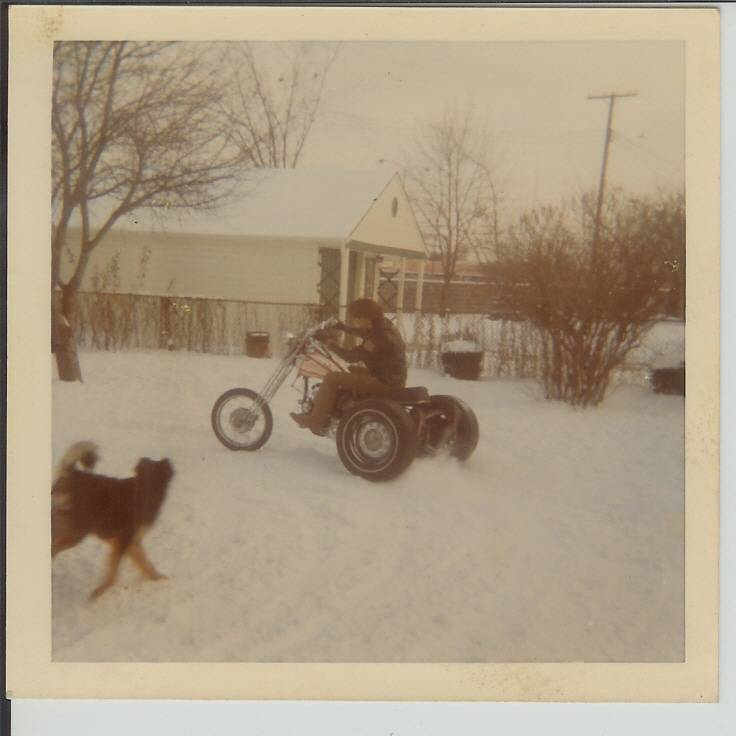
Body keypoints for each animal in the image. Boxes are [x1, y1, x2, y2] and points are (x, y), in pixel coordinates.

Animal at [51, 440, 175, 600]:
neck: (144, 491)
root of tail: (71, 474)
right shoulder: (124, 540)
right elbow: (113, 574)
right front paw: (97, 593)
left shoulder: (131, 542)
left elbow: (146, 564)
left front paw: (158, 579)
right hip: (76, 533)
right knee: (53, 548)